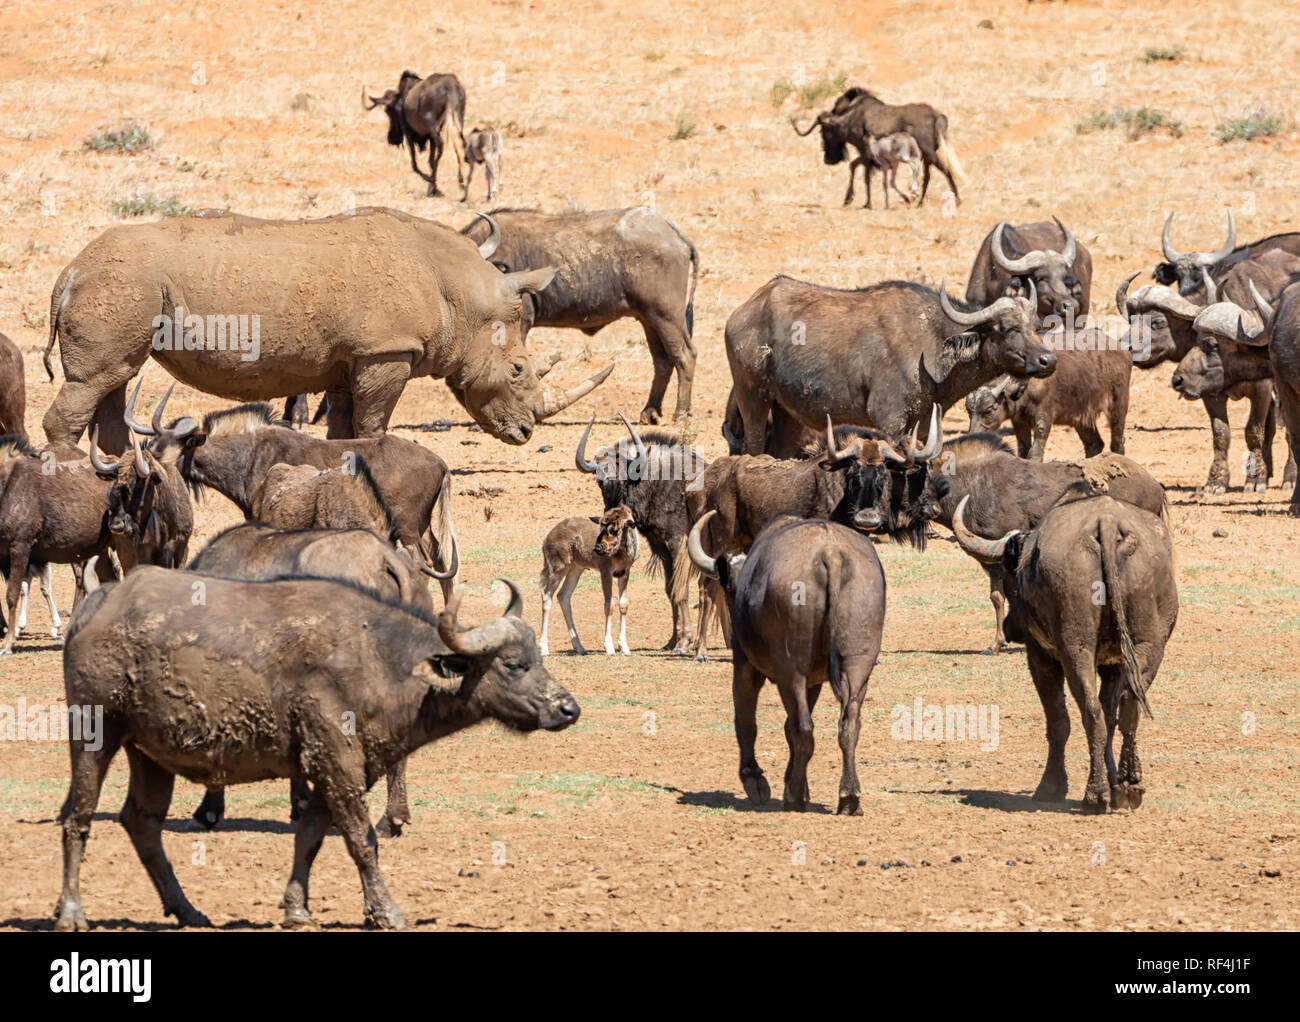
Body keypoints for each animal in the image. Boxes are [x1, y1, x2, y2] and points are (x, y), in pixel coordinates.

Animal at [55, 569, 574, 925]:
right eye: (513, 664)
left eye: (538, 657)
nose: (568, 708)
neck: (380, 661)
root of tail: (95, 606)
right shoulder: (336, 763)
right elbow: (362, 841)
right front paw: (385, 912)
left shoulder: (333, 770)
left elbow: (309, 838)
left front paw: (296, 908)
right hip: (93, 733)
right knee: (77, 818)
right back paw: (72, 913)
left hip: (150, 754)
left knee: (141, 823)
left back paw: (188, 911)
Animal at [462, 206, 696, 421]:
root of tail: (671, 231)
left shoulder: (520, 324)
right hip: (649, 319)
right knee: (662, 361)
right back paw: (650, 412)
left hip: (666, 316)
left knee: (685, 355)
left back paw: (681, 413)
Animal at [538, 504, 639, 657]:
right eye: (601, 526)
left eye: (614, 530)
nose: (597, 548)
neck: (622, 552)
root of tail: (547, 537)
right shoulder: (605, 572)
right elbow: (609, 605)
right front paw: (609, 647)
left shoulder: (624, 573)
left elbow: (623, 604)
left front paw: (624, 647)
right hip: (558, 568)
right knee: (547, 596)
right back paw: (544, 648)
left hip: (576, 569)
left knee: (563, 595)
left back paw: (579, 647)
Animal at [722, 273, 1055, 452]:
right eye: (1009, 328)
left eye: (1035, 326)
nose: (1048, 360)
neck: (931, 344)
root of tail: (743, 312)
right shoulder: (889, 422)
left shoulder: (923, 425)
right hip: (752, 399)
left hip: (788, 411)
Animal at [951, 488, 1185, 811]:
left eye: (1013, 575)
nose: (1010, 629)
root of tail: (1107, 523)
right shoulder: (1113, 664)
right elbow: (1110, 715)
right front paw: (1114, 780)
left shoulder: (1040, 656)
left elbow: (1058, 722)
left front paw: (1052, 786)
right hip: (1148, 646)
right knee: (1128, 706)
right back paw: (1128, 786)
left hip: (1076, 649)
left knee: (1090, 712)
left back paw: (1095, 794)